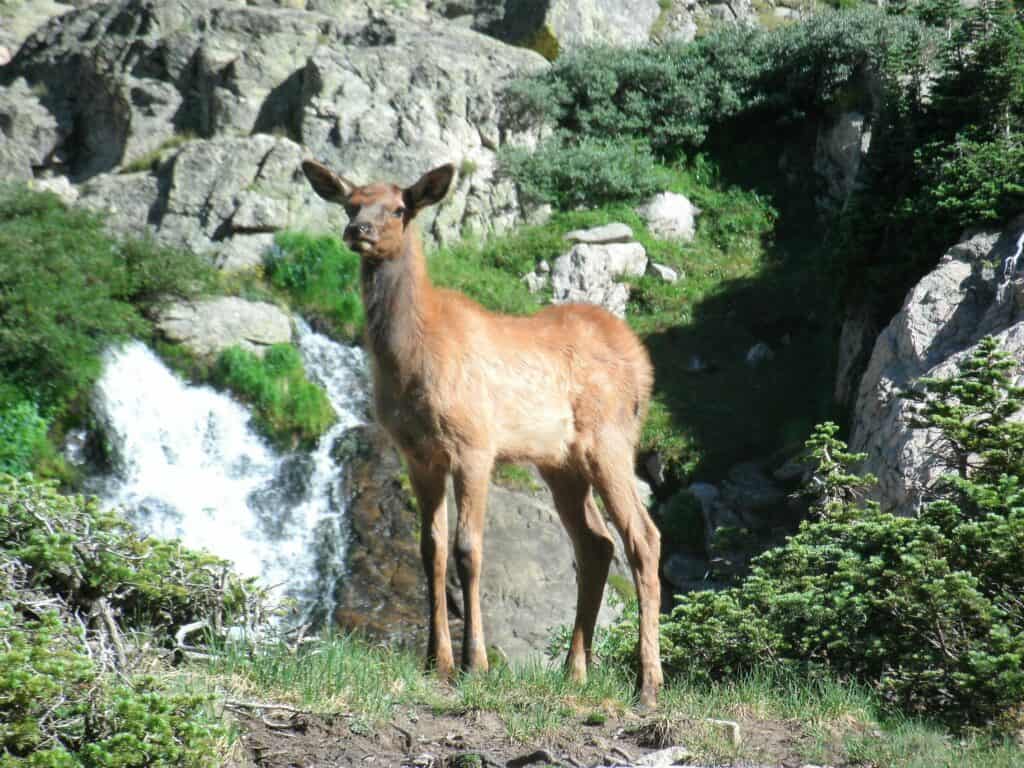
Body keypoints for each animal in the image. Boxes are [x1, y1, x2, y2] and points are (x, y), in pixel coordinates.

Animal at [299, 157, 663, 708]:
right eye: (351, 203)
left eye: (400, 208)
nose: (359, 231)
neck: (412, 357)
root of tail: (644, 363)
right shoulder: (417, 455)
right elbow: (430, 550)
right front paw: (436, 662)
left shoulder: (474, 445)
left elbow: (468, 551)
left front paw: (477, 663)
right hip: (560, 462)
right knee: (597, 544)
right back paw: (574, 672)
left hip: (610, 439)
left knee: (643, 536)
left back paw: (648, 683)